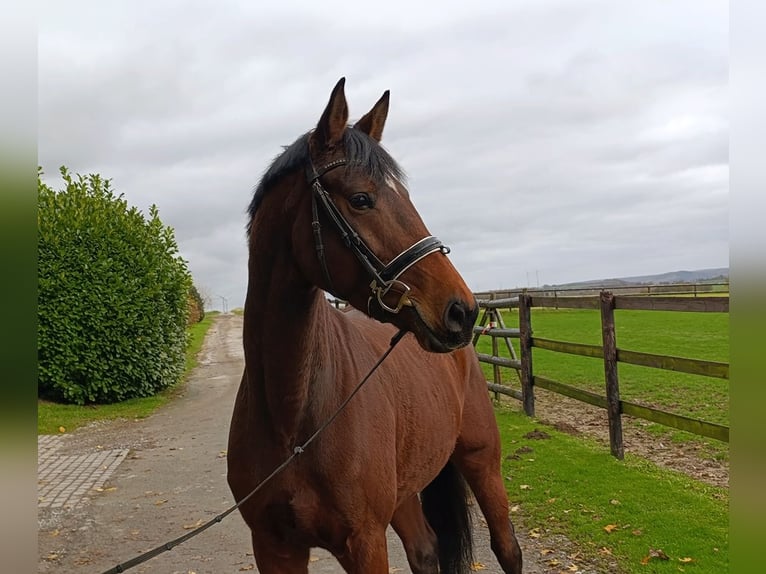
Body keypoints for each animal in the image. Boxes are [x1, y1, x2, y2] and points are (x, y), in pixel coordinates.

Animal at [228, 77, 524, 574]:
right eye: (361, 199)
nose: (462, 311)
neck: (293, 420)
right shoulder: (273, 546)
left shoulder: (364, 542)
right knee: (425, 550)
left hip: (481, 460)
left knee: (507, 548)